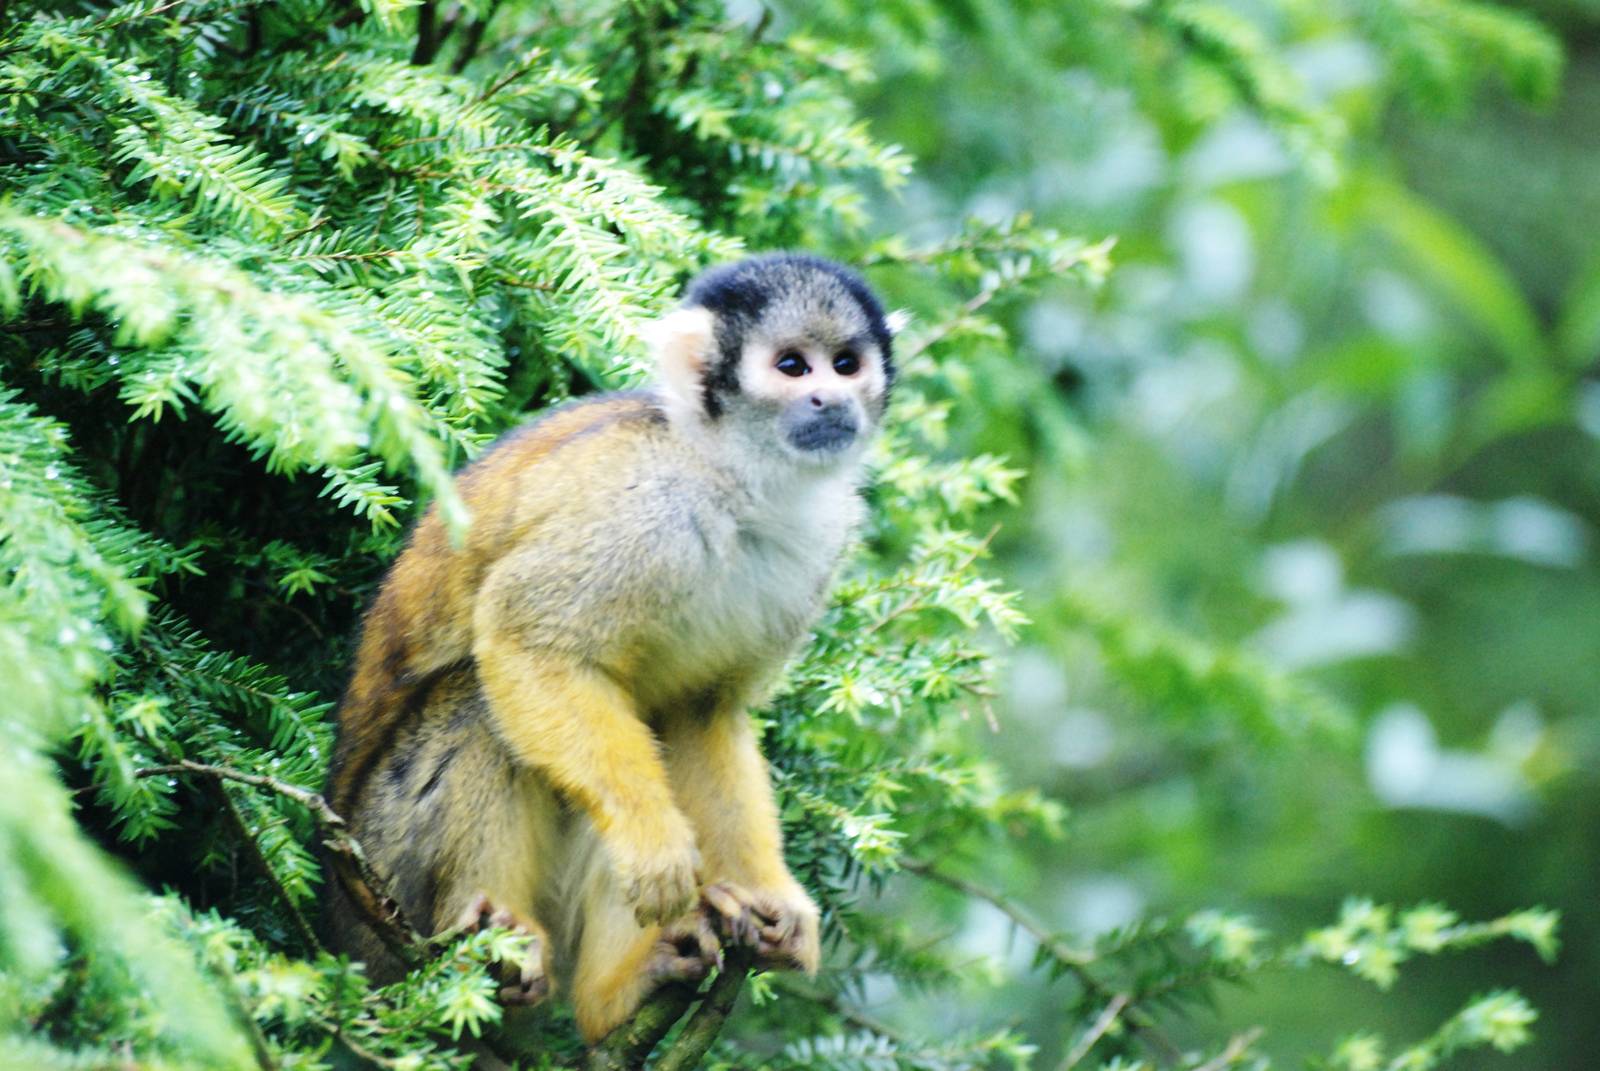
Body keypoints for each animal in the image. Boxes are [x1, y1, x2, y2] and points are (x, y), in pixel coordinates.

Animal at [323, 253, 894, 1043]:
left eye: (846, 364)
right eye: (791, 365)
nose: (829, 398)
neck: (737, 481)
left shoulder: (823, 548)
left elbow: (702, 714)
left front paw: (772, 902)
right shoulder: (643, 507)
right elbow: (527, 637)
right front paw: (652, 840)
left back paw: (617, 992)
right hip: (387, 867)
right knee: (478, 704)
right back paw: (499, 944)